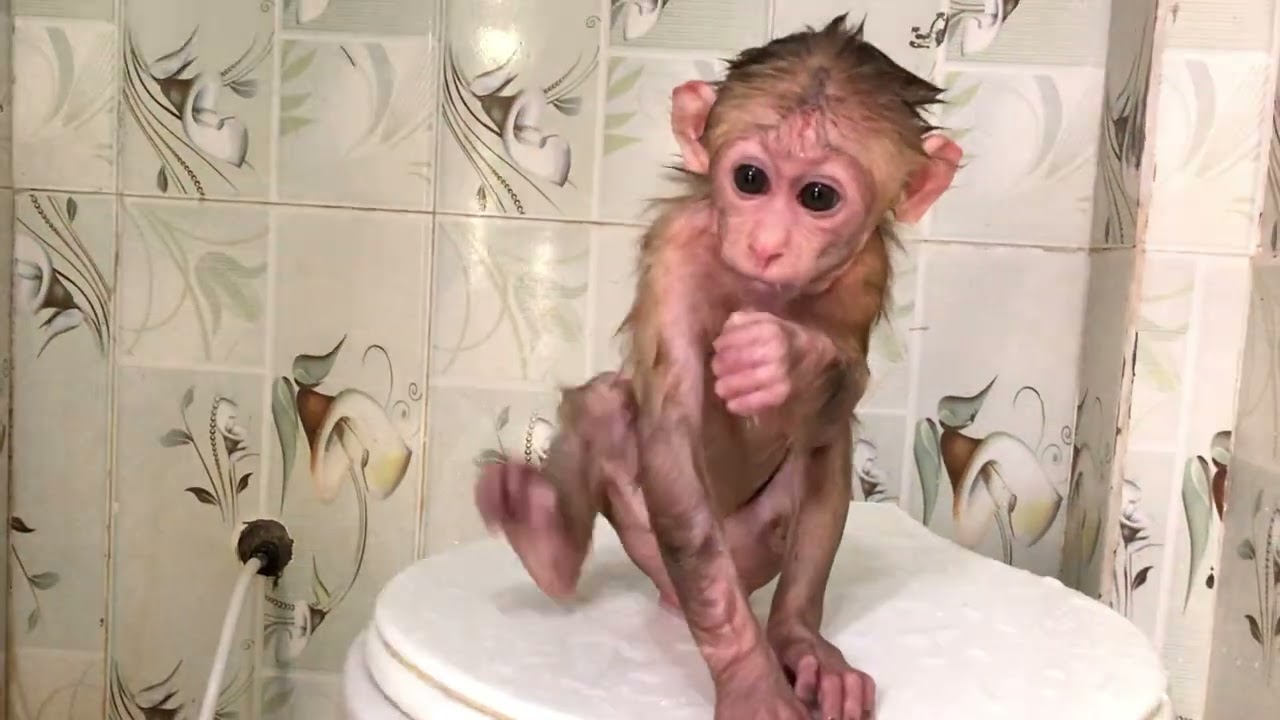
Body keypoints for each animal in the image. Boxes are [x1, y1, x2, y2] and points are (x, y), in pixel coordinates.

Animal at [475, 15, 961, 720]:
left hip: (757, 551)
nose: (766, 243)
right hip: (648, 541)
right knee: (608, 406)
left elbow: (845, 377)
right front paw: (750, 679)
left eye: (818, 196)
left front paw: (789, 358)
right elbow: (673, 432)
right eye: (750, 179)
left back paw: (800, 639)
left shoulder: (863, 267)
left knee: (825, 443)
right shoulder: (679, 247)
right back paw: (549, 542)